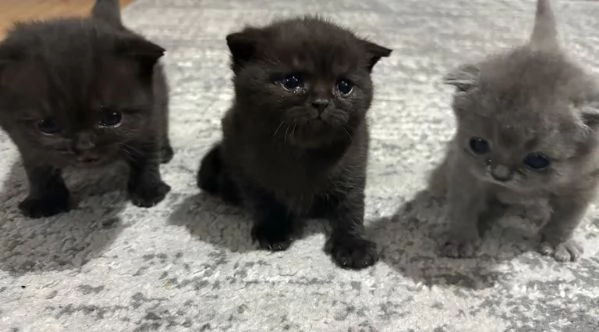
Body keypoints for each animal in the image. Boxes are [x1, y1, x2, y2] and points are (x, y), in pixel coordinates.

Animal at [0, 0, 173, 218]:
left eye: (113, 117)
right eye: (47, 125)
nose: (84, 145)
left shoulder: (148, 120)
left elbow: (146, 156)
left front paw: (149, 189)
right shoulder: (25, 143)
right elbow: (37, 168)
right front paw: (45, 200)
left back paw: (164, 151)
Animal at [199, 16, 392, 270]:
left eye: (344, 86)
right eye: (291, 81)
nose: (321, 102)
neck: (302, 152)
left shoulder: (353, 167)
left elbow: (351, 207)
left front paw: (353, 244)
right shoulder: (245, 167)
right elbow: (262, 201)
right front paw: (273, 230)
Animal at [434, 0, 599, 264]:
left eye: (538, 160)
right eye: (478, 144)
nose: (499, 174)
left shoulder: (584, 184)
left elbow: (567, 219)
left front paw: (558, 243)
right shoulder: (465, 171)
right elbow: (462, 207)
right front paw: (459, 238)